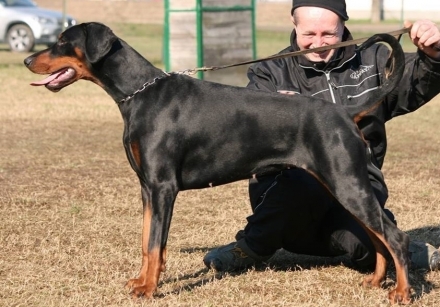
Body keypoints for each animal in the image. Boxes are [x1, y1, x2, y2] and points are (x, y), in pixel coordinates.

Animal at [24, 22, 412, 306]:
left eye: (62, 41)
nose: (28, 60)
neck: (139, 93)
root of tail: (344, 113)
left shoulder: (163, 187)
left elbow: (156, 244)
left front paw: (149, 289)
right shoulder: (147, 188)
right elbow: (146, 241)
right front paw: (140, 281)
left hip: (346, 183)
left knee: (393, 236)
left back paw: (402, 292)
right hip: (341, 186)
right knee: (376, 235)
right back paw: (375, 281)